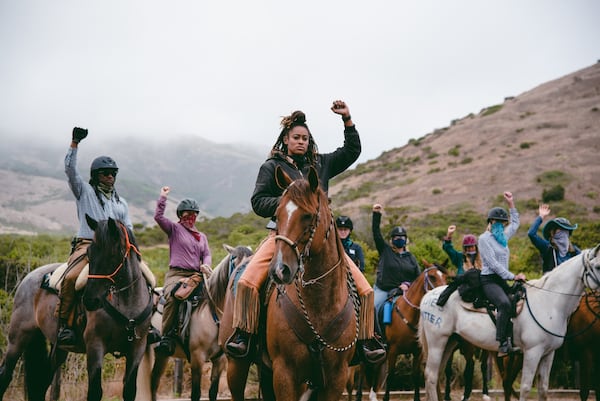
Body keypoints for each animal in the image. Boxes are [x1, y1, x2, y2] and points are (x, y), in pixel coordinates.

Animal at [0, 216, 152, 400]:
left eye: (112, 254)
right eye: (89, 254)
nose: (90, 300)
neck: (127, 303)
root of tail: (29, 276)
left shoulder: (137, 349)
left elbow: (129, 390)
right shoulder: (95, 346)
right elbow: (94, 391)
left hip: (58, 348)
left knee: (42, 382)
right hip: (17, 339)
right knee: (5, 374)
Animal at [136, 244, 253, 400]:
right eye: (235, 260)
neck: (211, 313)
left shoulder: (220, 361)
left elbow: (213, 392)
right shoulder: (197, 358)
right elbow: (196, 393)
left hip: (162, 355)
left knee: (154, 382)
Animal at [420, 242, 600, 400]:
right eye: (598, 266)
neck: (548, 302)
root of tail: (428, 296)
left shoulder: (548, 354)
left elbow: (543, 389)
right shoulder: (532, 352)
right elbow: (526, 388)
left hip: (450, 342)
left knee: (436, 375)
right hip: (437, 342)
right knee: (430, 375)